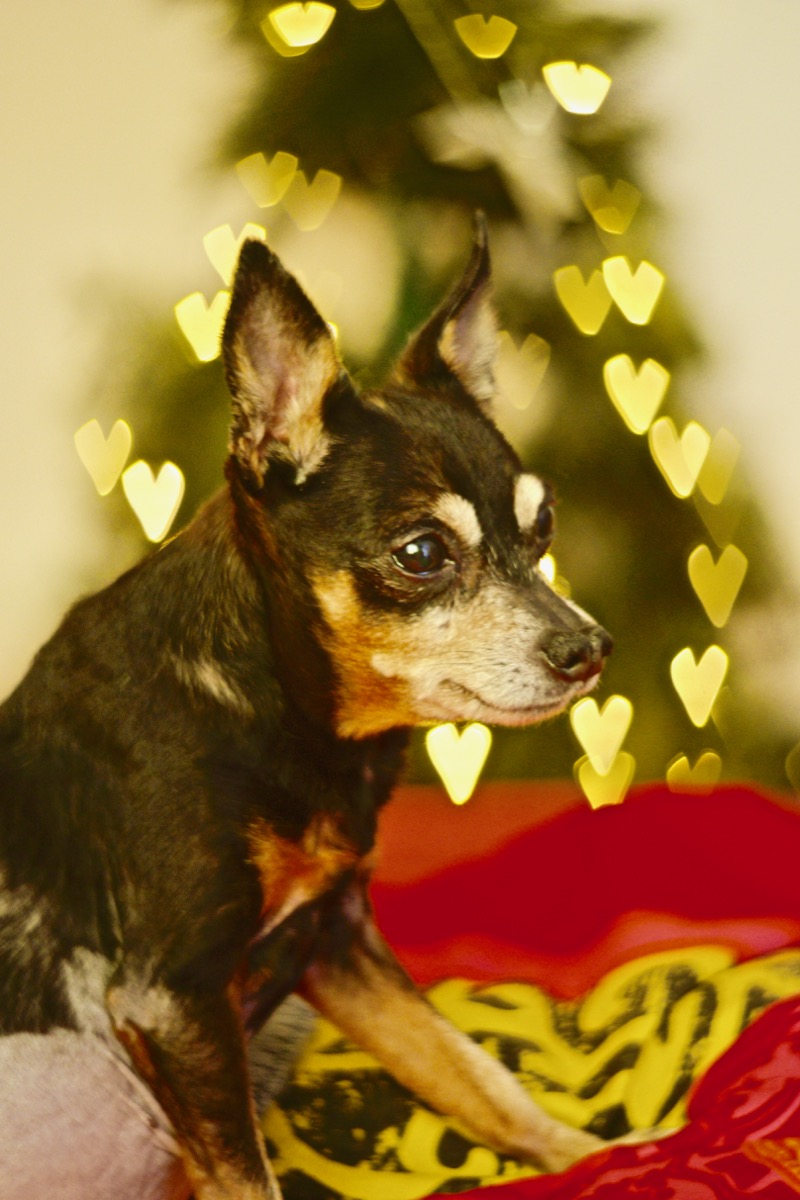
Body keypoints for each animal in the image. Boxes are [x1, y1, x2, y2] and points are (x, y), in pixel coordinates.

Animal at [0, 215, 613, 1199]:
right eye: (421, 553)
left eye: (543, 527)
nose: (589, 649)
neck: (282, 709)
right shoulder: (176, 998)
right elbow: (249, 1176)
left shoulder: (338, 942)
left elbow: (475, 1074)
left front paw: (605, 1156)